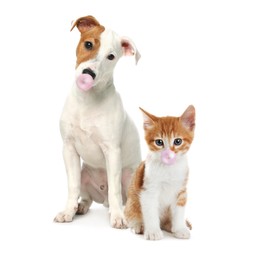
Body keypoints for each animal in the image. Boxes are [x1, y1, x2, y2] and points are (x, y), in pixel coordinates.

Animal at [54, 15, 141, 228]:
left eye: (111, 56)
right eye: (88, 44)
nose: (89, 73)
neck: (87, 101)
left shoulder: (112, 151)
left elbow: (115, 189)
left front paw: (118, 217)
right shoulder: (68, 148)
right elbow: (73, 185)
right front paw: (68, 211)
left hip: (131, 177)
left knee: (122, 196)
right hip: (85, 174)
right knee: (87, 197)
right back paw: (80, 207)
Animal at [124, 105, 194, 240]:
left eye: (178, 141)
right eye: (159, 142)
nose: (168, 155)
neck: (168, 169)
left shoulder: (181, 191)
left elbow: (179, 211)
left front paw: (180, 228)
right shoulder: (148, 190)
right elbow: (151, 211)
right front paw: (152, 231)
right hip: (131, 204)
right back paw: (138, 226)